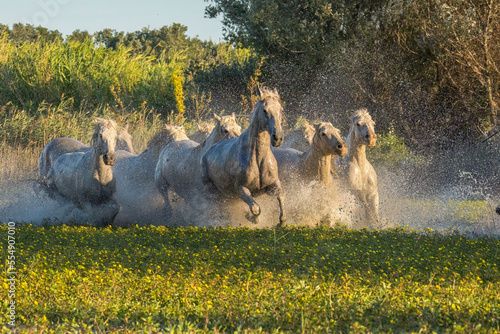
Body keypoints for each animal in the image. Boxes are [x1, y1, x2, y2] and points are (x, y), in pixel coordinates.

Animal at [199, 87, 286, 226]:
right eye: (265, 110)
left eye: (281, 109)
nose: (277, 138)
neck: (257, 158)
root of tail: (206, 153)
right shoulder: (240, 188)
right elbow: (255, 208)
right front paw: (253, 218)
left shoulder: (273, 183)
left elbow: (281, 197)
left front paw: (281, 223)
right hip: (212, 192)